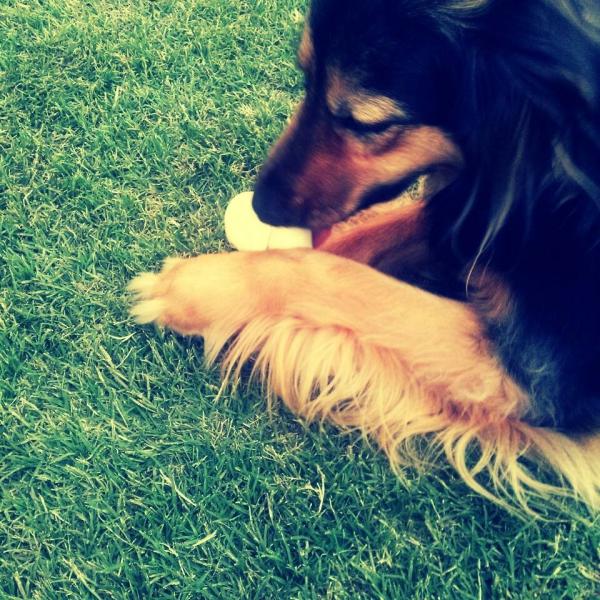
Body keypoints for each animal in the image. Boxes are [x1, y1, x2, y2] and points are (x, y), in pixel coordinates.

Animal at [130, 0, 600, 511]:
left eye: (367, 123)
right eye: (306, 77)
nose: (261, 207)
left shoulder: (536, 374)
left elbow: (337, 277)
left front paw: (201, 287)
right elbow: (359, 246)